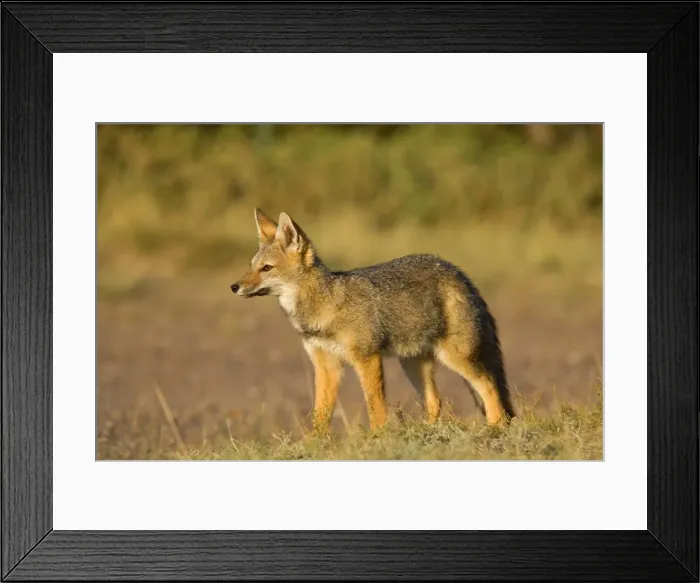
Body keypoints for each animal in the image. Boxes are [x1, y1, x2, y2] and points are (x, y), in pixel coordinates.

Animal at [231, 208, 516, 434]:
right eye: (251, 266)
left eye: (266, 268)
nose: (234, 287)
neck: (325, 306)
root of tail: (456, 270)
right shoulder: (326, 365)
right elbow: (320, 414)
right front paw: (315, 444)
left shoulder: (367, 358)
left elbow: (375, 406)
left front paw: (378, 437)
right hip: (412, 364)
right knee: (436, 402)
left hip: (456, 357)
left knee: (490, 387)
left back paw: (495, 429)